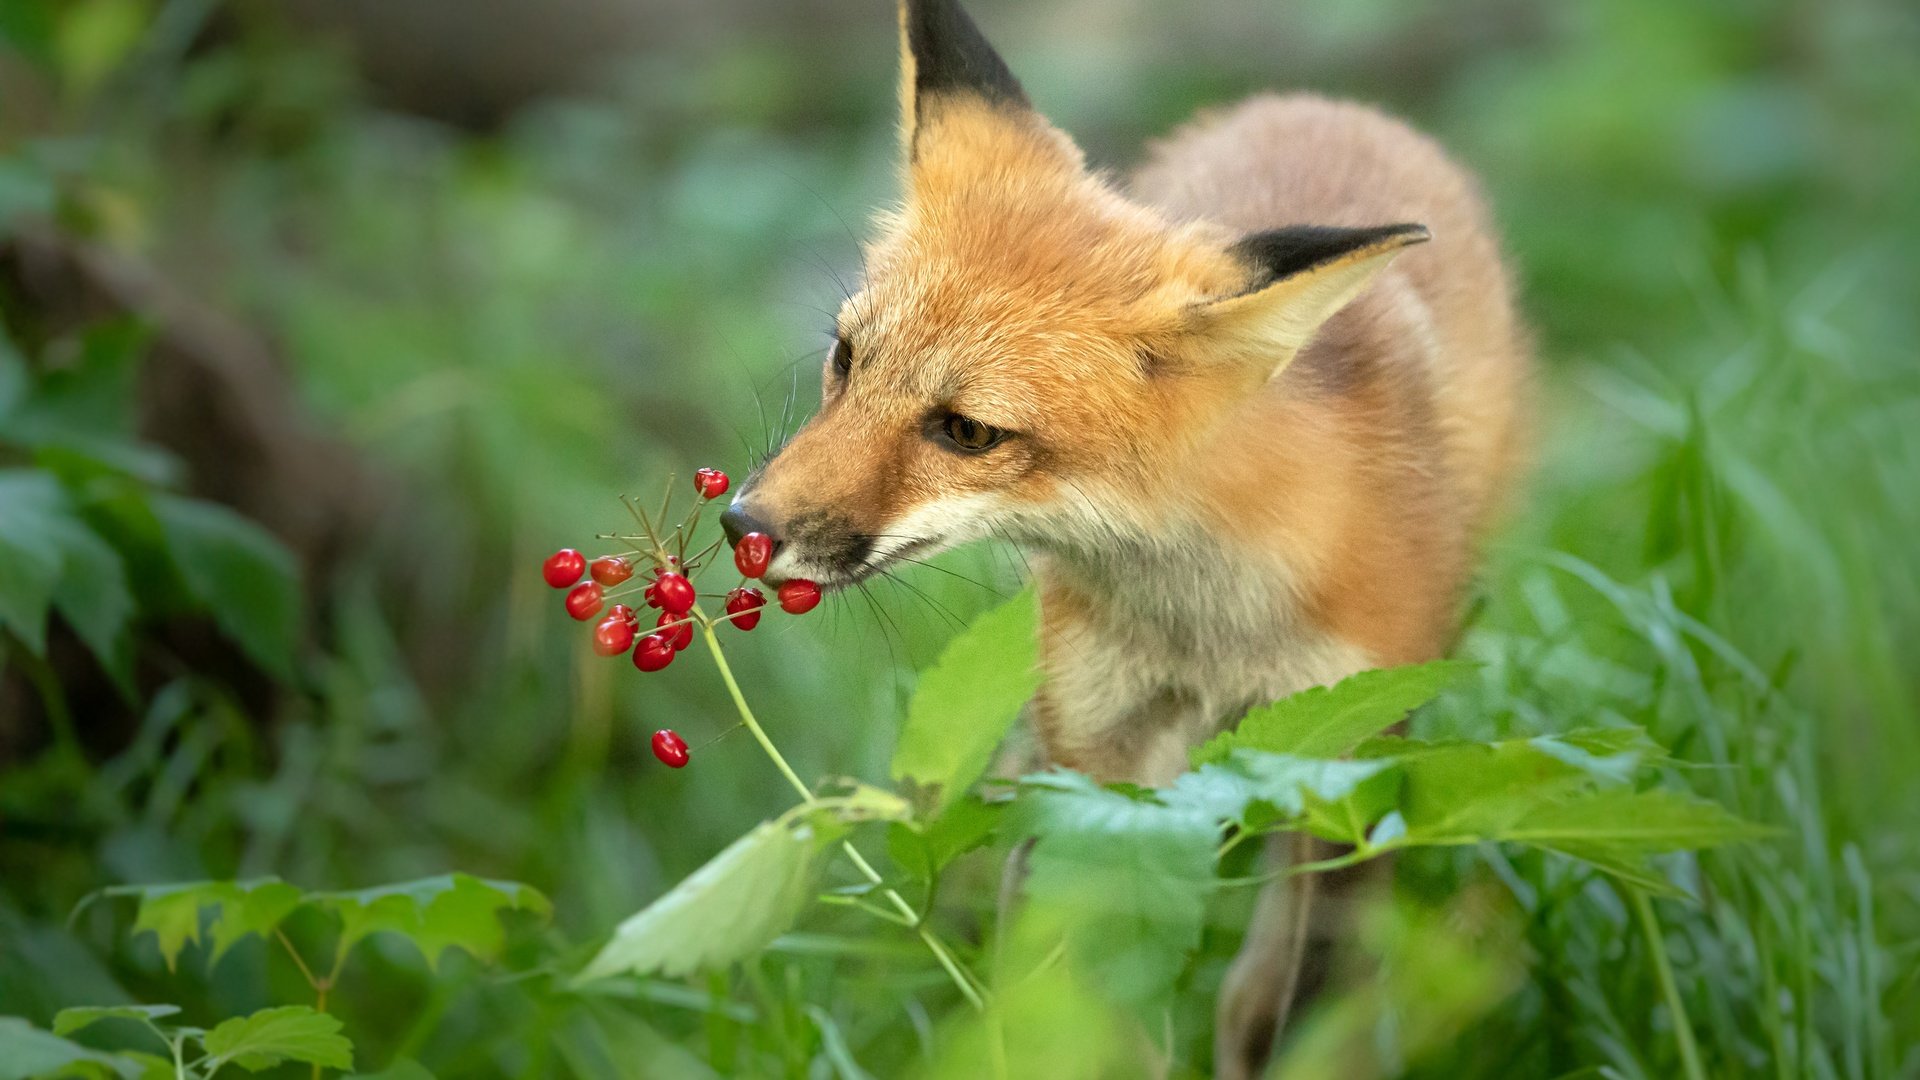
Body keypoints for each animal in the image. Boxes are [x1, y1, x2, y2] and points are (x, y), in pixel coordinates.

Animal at [721, 0, 1528, 1068]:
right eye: (847, 359)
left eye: (967, 432)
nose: (742, 525)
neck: (1211, 623)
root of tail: (1320, 101)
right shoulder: (1099, 773)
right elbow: (1091, 1006)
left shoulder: (1345, 764)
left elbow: (1289, 1012)